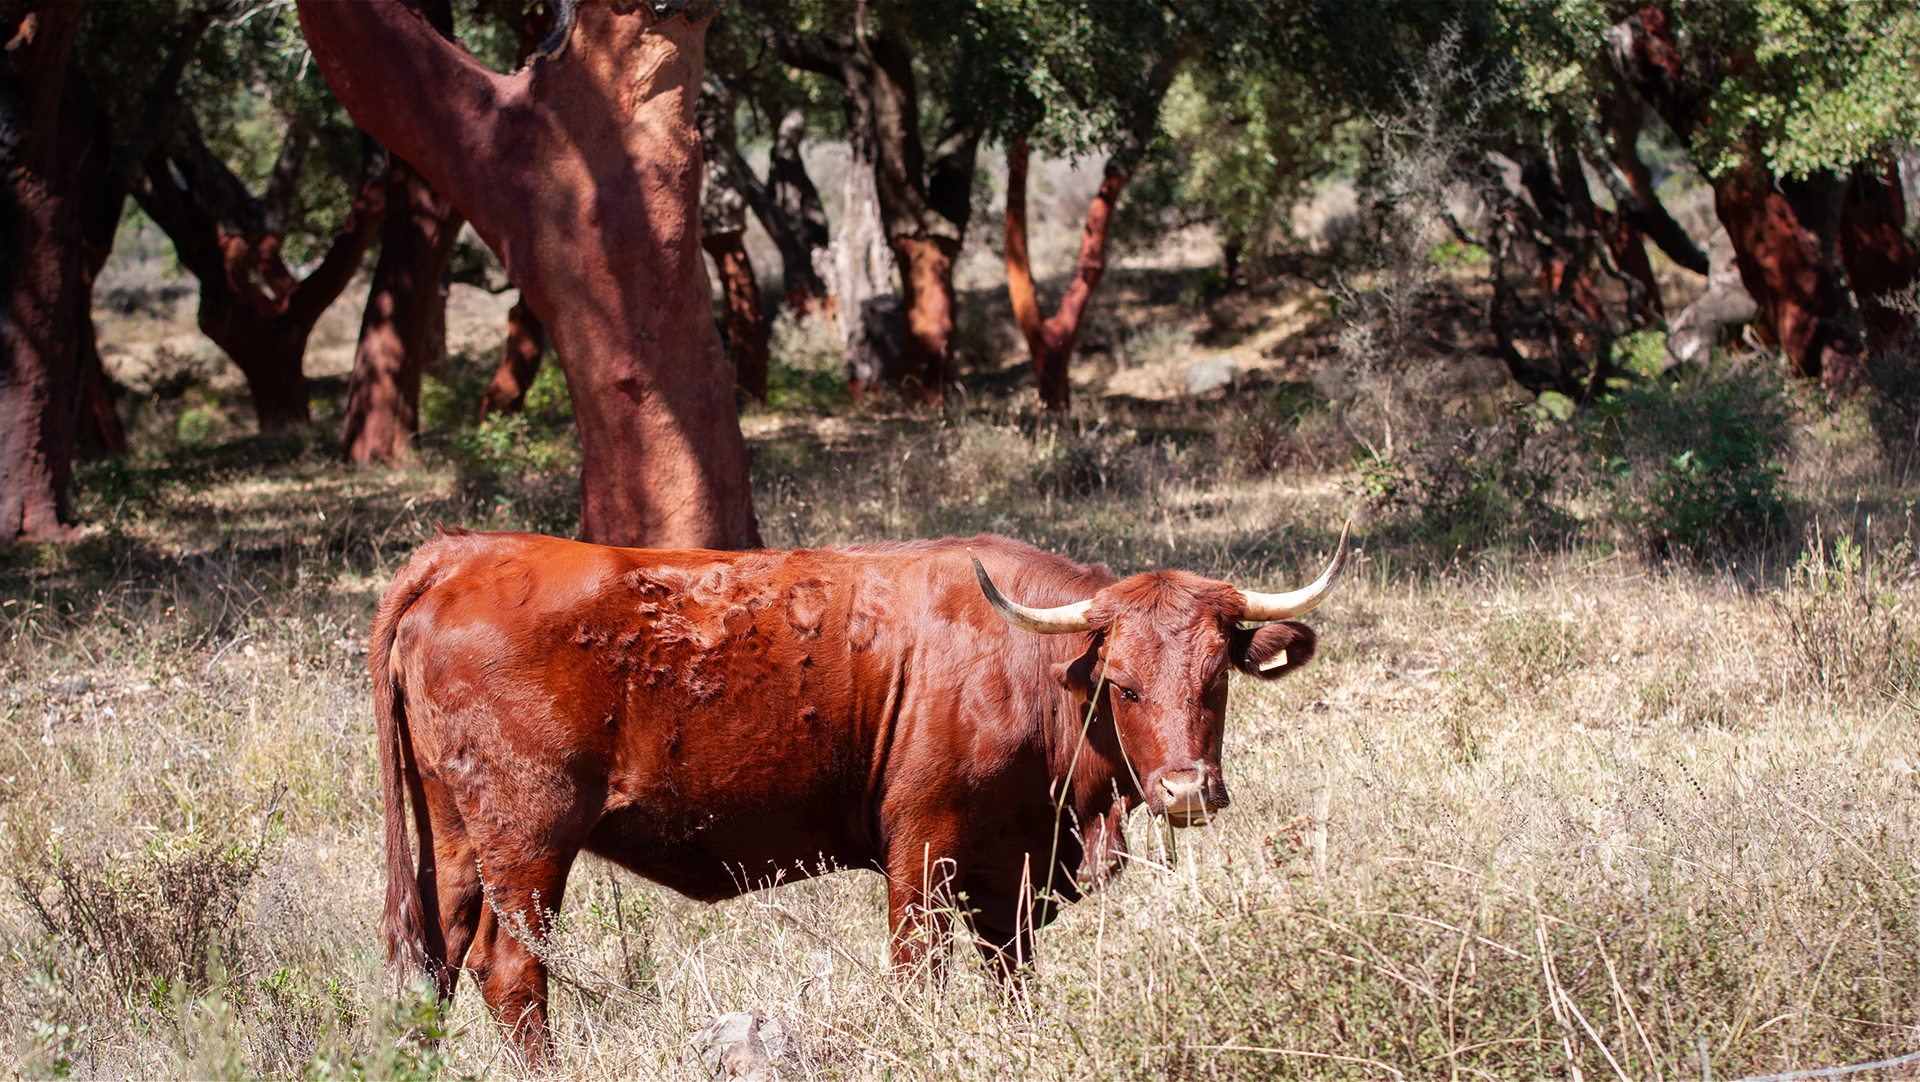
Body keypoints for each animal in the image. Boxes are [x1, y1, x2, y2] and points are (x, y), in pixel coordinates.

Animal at [366, 525, 1344, 1058]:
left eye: (1216, 679)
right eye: (1122, 685)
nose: (1185, 788)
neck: (1026, 669)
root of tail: (462, 554)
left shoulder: (1013, 869)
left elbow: (1013, 975)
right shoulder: (923, 848)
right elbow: (919, 975)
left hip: (456, 841)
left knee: (436, 962)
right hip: (530, 841)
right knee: (509, 969)